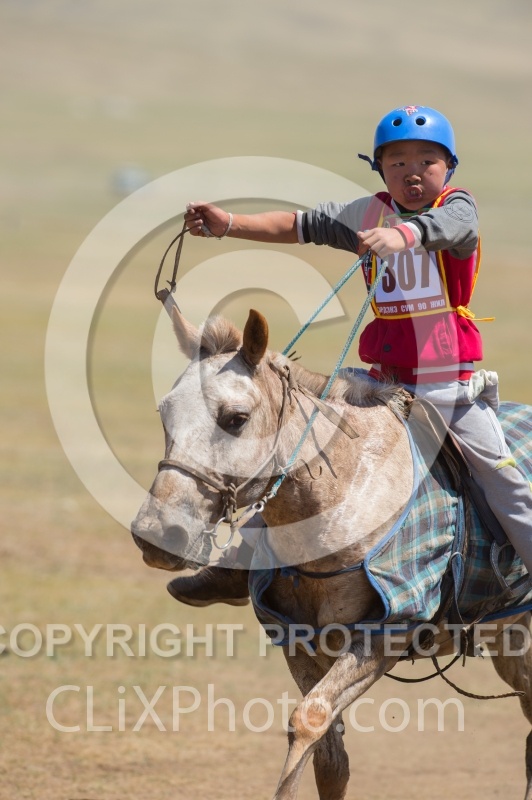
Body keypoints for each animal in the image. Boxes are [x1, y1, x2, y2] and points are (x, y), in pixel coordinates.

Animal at [131, 306, 532, 800]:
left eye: (236, 418)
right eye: (165, 412)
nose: (155, 533)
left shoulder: (388, 631)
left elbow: (310, 717)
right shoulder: (298, 639)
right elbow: (328, 756)